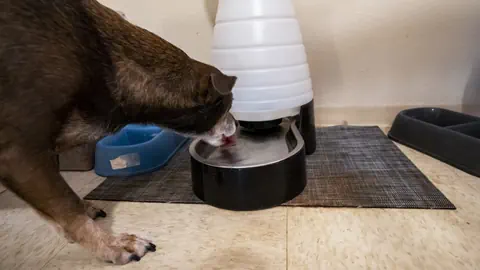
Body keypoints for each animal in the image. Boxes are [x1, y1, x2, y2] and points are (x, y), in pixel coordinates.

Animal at [0, 0, 238, 264]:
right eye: (228, 105)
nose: (237, 127)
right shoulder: (20, 155)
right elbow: (67, 206)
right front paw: (113, 245)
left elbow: (57, 208)